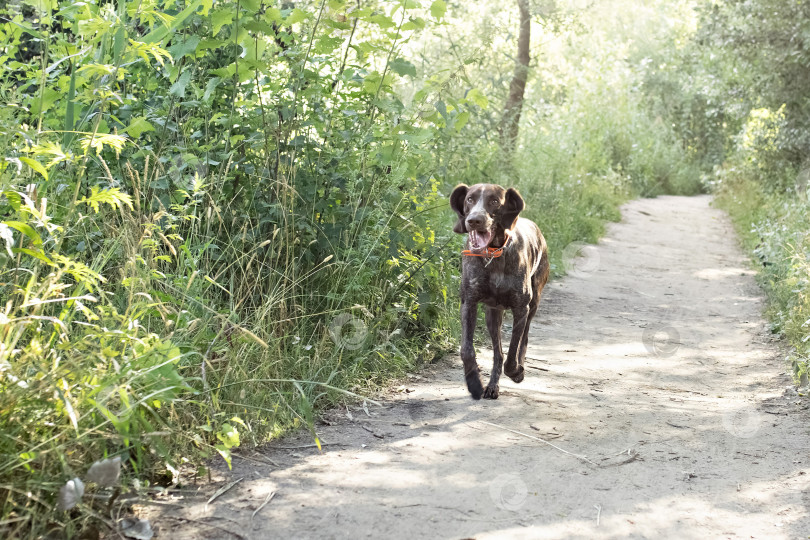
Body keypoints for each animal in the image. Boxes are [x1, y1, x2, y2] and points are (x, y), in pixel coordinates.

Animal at [448, 184, 548, 398]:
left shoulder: (521, 309)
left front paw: (517, 372)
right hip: (492, 316)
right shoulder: (469, 303)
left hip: (533, 304)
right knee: (498, 353)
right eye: (469, 199)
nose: (474, 220)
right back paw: (492, 385)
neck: (493, 254)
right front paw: (474, 383)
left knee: (523, 340)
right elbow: (466, 350)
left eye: (494, 201)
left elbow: (513, 353)